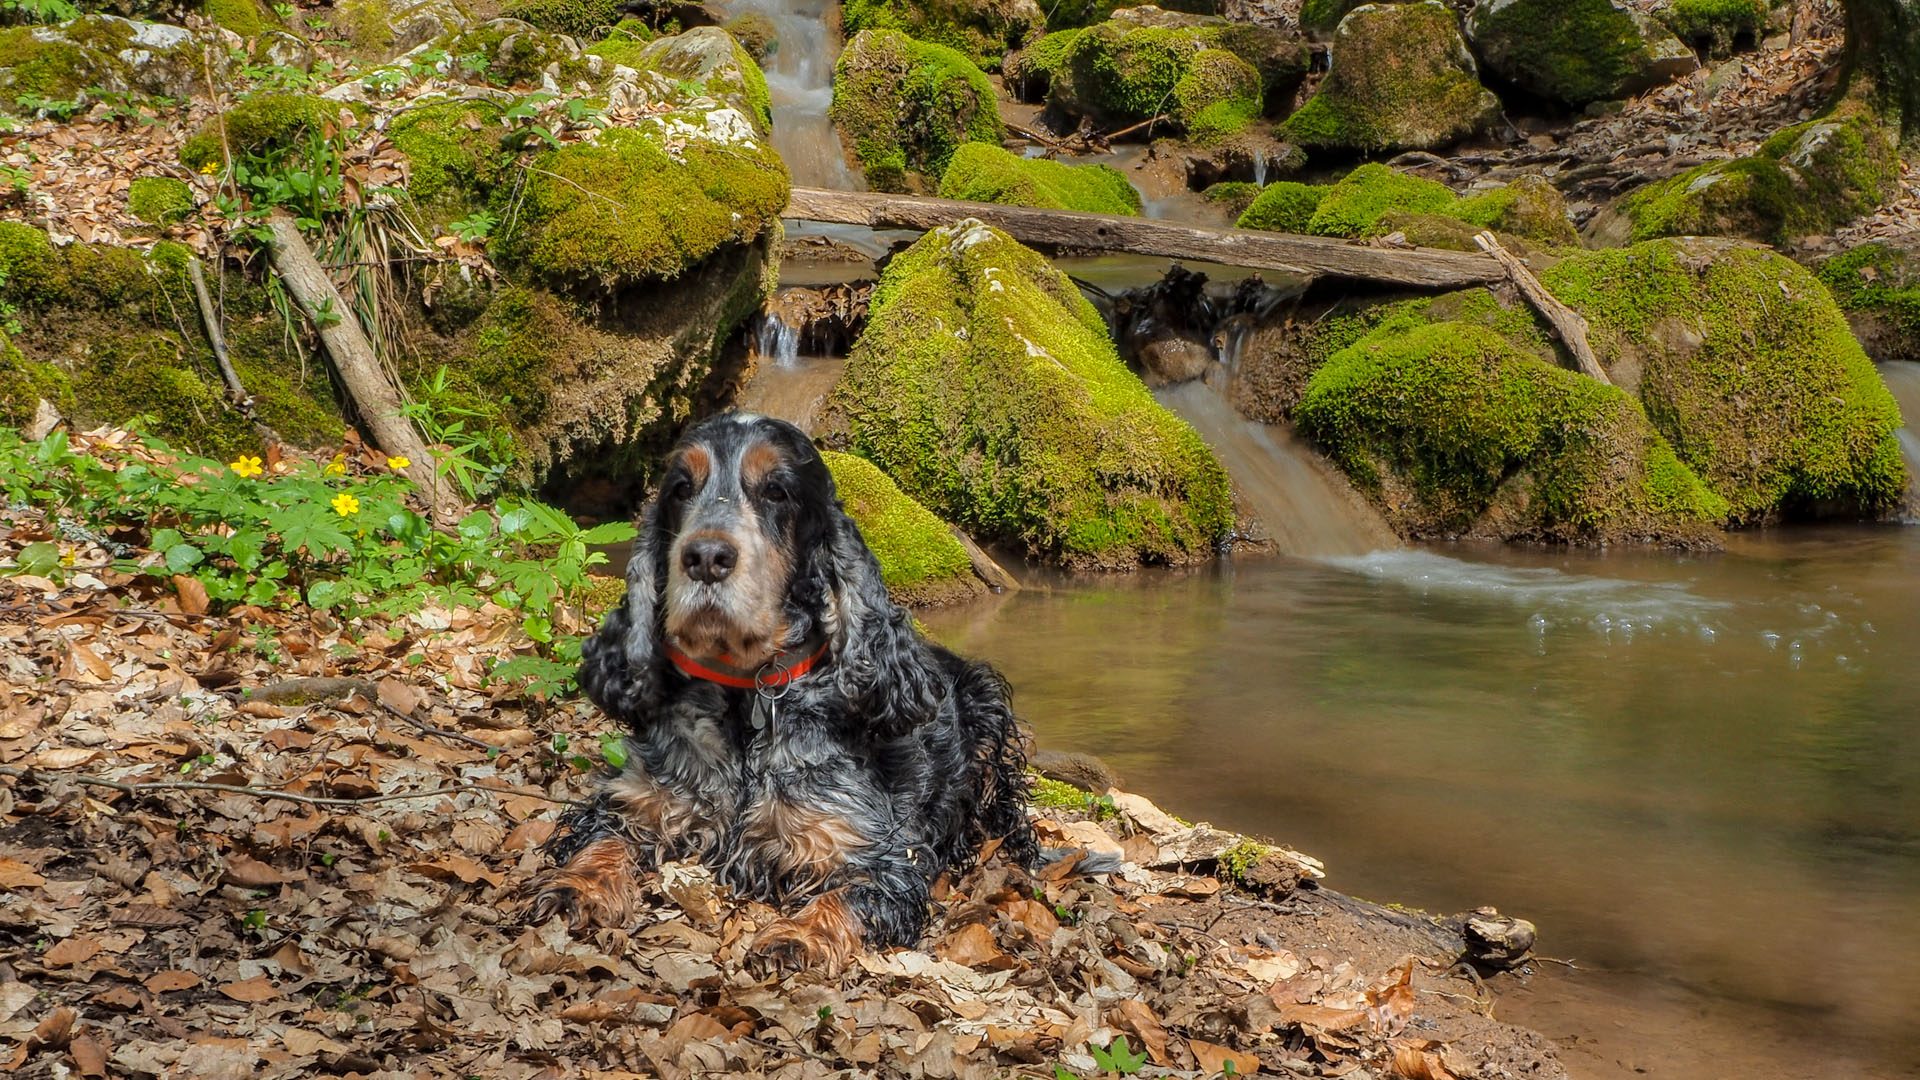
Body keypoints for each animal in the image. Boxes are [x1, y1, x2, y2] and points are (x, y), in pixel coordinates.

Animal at [526, 407, 1036, 960]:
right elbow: (604, 838)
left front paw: (798, 937)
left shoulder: (878, 853)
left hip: (988, 714)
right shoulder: (637, 801)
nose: (705, 557)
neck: (745, 696)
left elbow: (843, 895)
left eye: (776, 491)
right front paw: (574, 887)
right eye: (681, 488)